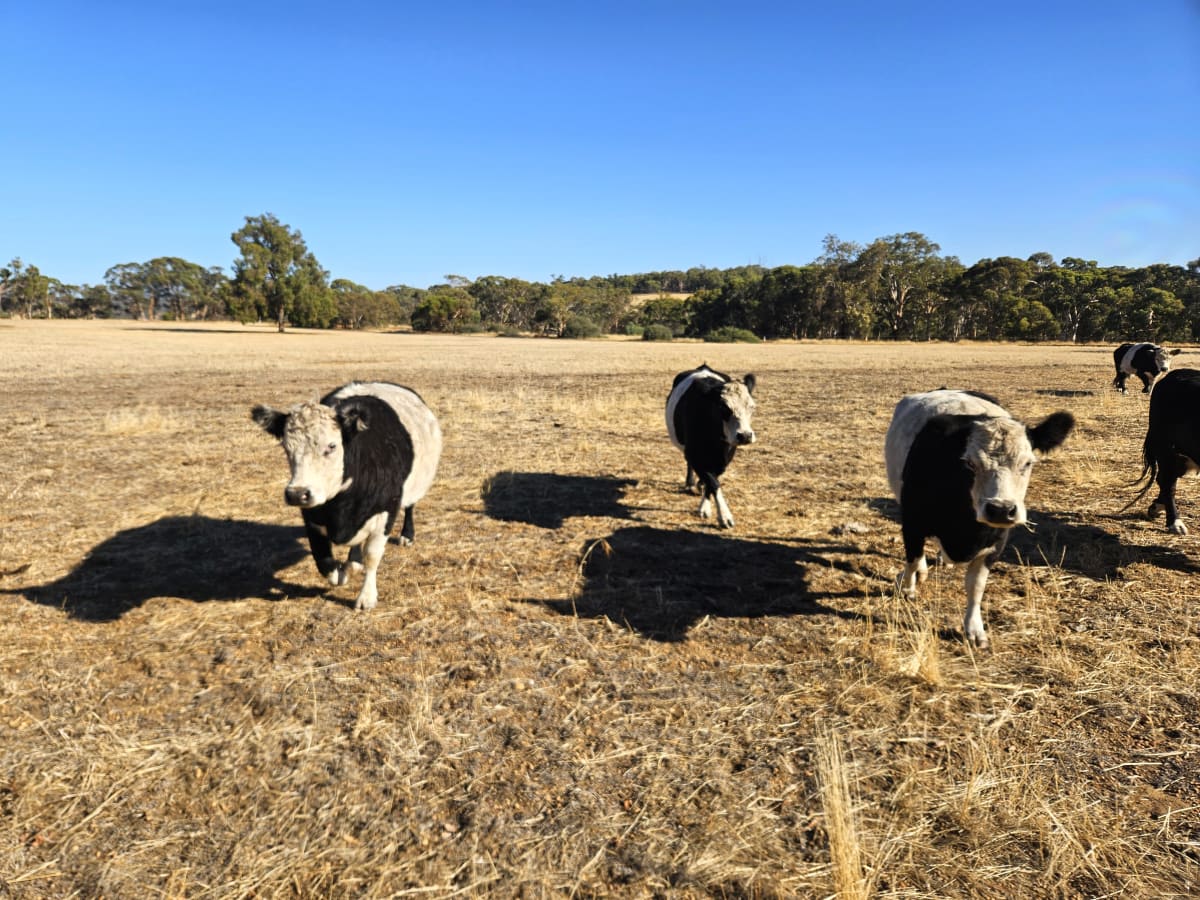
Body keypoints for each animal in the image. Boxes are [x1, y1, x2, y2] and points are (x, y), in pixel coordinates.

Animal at [252, 381, 442, 610]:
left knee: (410, 508)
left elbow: (372, 555)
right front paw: (342, 573)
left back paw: (407, 535)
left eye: (332, 446)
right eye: (286, 447)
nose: (297, 494)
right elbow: (323, 560)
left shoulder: (386, 510)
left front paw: (366, 597)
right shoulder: (312, 517)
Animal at [665, 363, 757, 528]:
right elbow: (713, 482)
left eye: (752, 407)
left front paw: (705, 507)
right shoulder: (694, 455)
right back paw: (690, 483)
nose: (745, 435)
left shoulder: (725, 458)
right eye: (724, 408)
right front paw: (724, 516)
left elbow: (712, 481)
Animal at [884, 389, 1074, 649]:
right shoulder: (912, 522)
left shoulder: (996, 541)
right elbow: (912, 559)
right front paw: (907, 586)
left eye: (1027, 463)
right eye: (968, 463)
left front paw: (974, 629)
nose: (1001, 509)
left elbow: (976, 586)